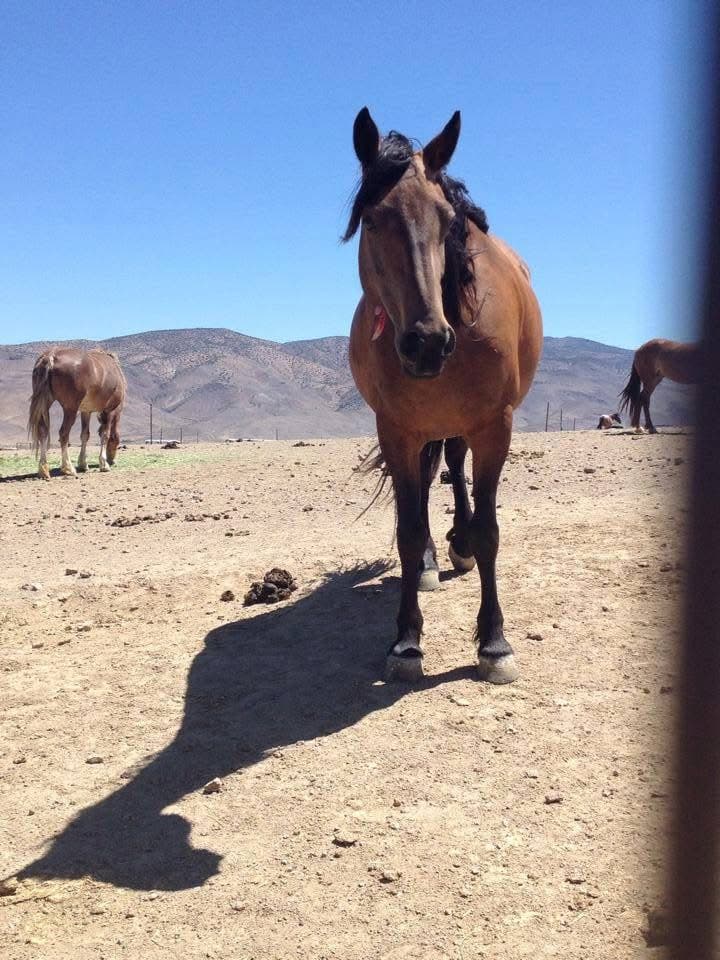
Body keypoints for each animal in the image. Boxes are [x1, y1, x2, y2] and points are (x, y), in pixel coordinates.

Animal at [28, 347, 127, 480]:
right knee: (63, 433)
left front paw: (83, 464)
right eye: (117, 441)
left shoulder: (86, 411)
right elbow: (105, 434)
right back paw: (68, 468)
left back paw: (43, 470)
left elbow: (85, 435)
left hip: (45, 403)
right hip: (70, 409)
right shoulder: (109, 411)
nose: (112, 461)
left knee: (43, 431)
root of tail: (51, 356)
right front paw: (104, 464)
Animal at [345, 108, 543, 684]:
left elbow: (492, 529)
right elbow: (408, 531)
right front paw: (407, 641)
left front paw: (495, 642)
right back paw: (438, 556)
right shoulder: (397, 430)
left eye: (447, 219)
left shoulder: (495, 426)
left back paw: (461, 543)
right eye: (371, 219)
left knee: (455, 465)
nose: (427, 342)